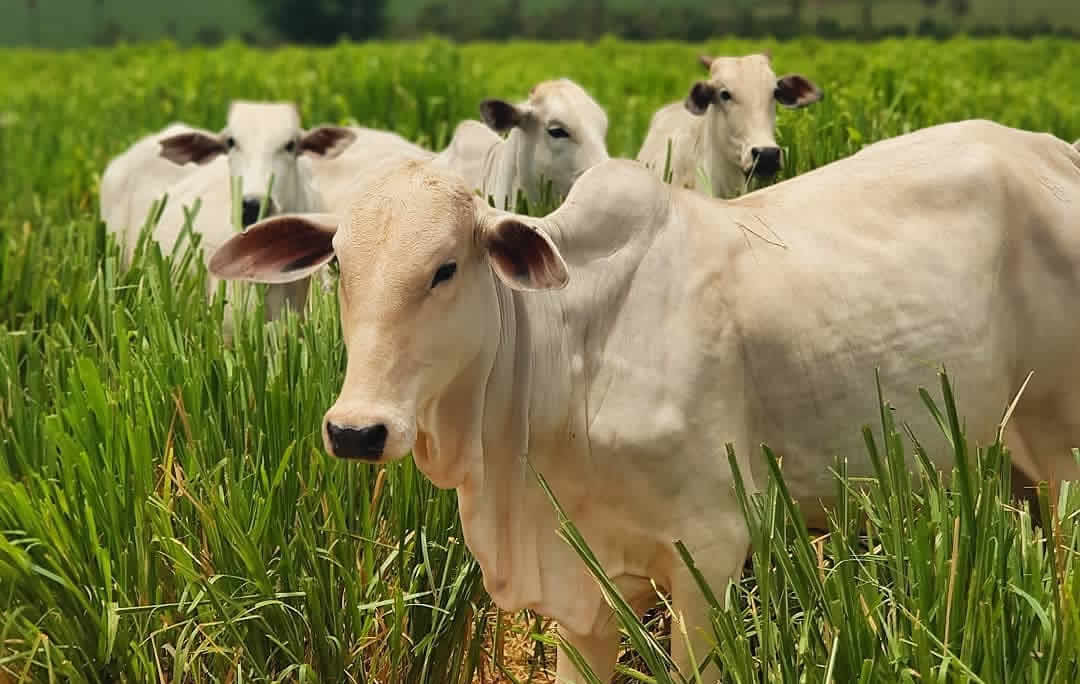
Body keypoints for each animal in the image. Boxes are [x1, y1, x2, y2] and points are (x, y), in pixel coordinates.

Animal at [200, 119, 1080, 678]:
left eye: (446, 268)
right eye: (339, 266)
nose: (357, 430)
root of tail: (1055, 153)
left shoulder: (712, 555)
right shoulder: (579, 591)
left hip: (1063, 459)